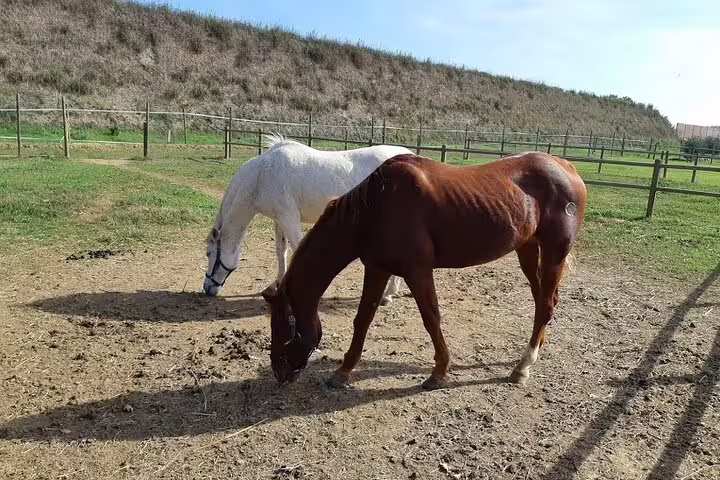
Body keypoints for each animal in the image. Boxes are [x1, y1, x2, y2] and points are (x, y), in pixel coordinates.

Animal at [203, 134, 411, 303]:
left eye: (208, 253)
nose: (207, 288)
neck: (262, 176)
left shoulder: (289, 218)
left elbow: (297, 249)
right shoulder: (279, 220)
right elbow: (281, 251)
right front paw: (276, 284)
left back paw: (388, 294)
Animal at [263, 152, 587, 389]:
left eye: (282, 326)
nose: (279, 371)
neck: (375, 207)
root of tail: (566, 166)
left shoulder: (417, 272)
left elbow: (431, 318)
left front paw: (439, 371)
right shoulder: (377, 268)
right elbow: (363, 319)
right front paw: (343, 370)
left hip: (554, 252)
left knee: (545, 305)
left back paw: (523, 366)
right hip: (528, 249)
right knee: (542, 300)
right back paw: (534, 350)